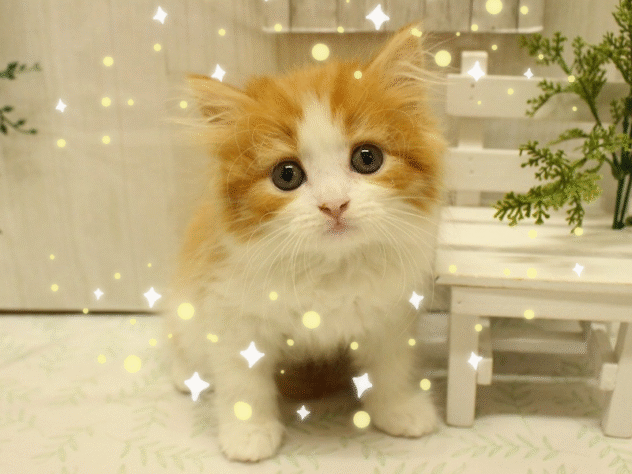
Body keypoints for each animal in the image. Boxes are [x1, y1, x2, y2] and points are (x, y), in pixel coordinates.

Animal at [165, 22, 445, 462]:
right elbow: (243, 381)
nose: (334, 204)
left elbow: (391, 366)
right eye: (286, 174)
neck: (329, 268)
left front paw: (399, 408)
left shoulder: (389, 315)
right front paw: (249, 433)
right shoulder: (232, 312)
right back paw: (187, 375)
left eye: (367, 158)